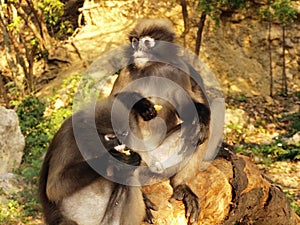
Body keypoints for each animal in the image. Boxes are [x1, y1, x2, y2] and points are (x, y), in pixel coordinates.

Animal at [37, 92, 158, 225]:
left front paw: (142, 104)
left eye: (124, 133)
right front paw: (111, 160)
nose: (122, 143)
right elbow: (54, 188)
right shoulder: (67, 138)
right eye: (111, 137)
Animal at [109, 19, 211, 225]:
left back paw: (181, 185)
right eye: (134, 41)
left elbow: (191, 108)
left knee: (197, 134)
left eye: (146, 42)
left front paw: (202, 119)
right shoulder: (127, 70)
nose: (137, 50)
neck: (152, 67)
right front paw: (142, 104)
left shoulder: (178, 70)